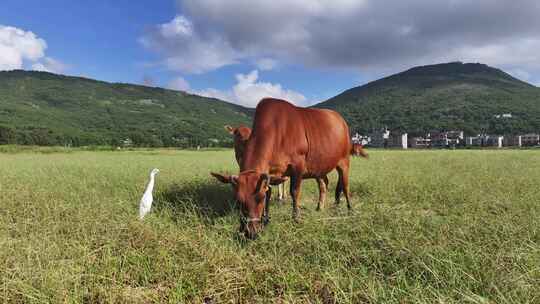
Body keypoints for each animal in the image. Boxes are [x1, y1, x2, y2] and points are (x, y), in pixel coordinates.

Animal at [211, 98, 354, 239]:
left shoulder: (298, 165)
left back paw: (349, 209)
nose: (250, 232)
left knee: (345, 185)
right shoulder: (270, 172)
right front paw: (266, 220)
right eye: (238, 200)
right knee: (324, 184)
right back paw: (321, 207)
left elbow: (294, 191)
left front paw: (295, 218)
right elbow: (270, 191)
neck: (277, 130)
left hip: (344, 161)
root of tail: (340, 119)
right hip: (319, 167)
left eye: (260, 198)